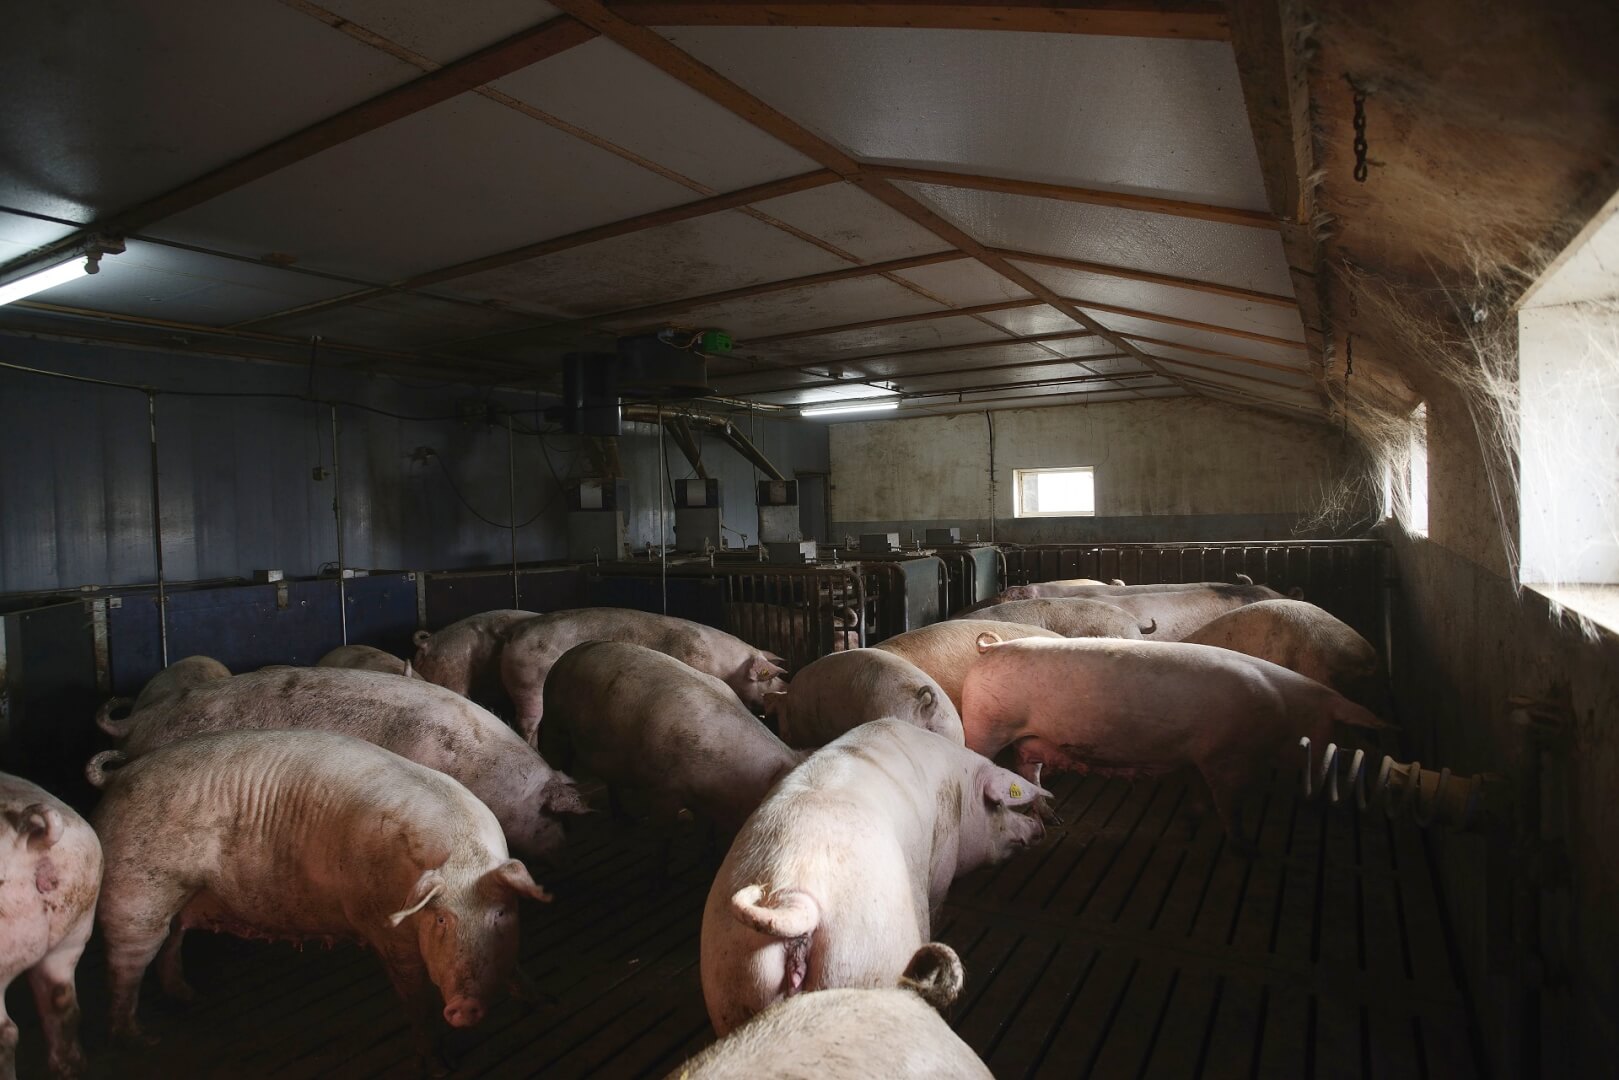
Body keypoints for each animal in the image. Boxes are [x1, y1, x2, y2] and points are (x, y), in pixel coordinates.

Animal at [87, 730, 550, 1066]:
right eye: (441, 920)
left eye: (501, 915)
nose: (465, 1007)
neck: (463, 857)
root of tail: (118, 775)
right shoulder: (384, 930)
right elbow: (414, 997)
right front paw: (436, 1063)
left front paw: (539, 1001)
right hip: (134, 891)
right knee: (125, 966)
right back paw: (141, 1040)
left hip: (178, 896)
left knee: (172, 939)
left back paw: (189, 997)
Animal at [501, 607, 788, 745]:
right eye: (767, 678)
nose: (786, 683)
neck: (724, 666)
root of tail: (513, 635)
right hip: (529, 686)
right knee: (527, 724)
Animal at [700, 718, 1048, 1035]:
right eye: (1000, 805)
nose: (1039, 829)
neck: (960, 785)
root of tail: (795, 900)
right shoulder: (942, 862)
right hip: (865, 953)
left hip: (732, 975)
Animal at [960, 636, 1389, 840]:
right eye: (1336, 728)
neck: (1284, 713)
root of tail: (991, 647)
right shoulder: (1224, 757)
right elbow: (1229, 804)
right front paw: (1243, 845)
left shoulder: (1199, 757)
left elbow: (1200, 793)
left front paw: (1193, 820)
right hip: (986, 724)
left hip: (1030, 738)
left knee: (1027, 772)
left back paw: (1055, 819)